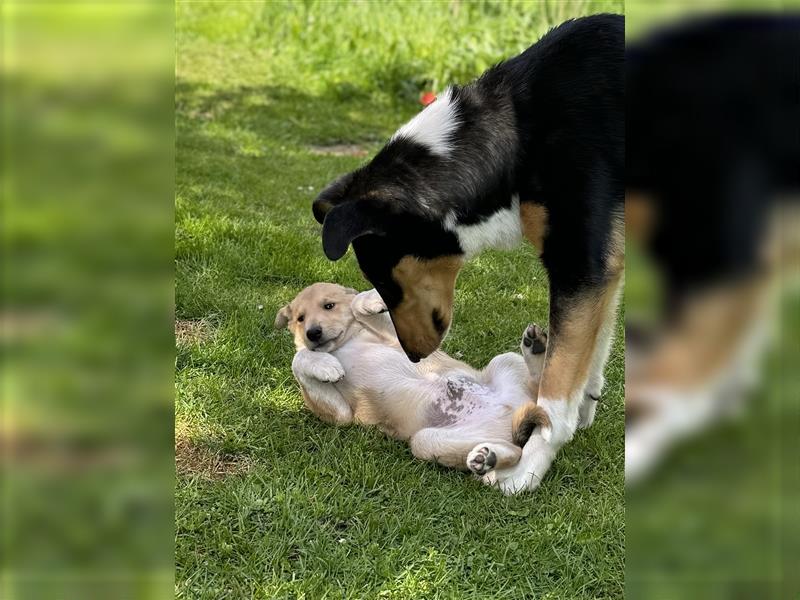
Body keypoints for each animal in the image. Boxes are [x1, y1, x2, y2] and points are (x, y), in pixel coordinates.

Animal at [276, 282, 552, 488]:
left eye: (329, 306)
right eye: (300, 319)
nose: (312, 333)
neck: (344, 345)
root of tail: (512, 414)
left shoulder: (407, 343)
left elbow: (356, 306)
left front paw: (372, 301)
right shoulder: (341, 415)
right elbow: (298, 359)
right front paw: (326, 366)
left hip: (504, 361)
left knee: (536, 390)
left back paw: (536, 348)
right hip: (426, 441)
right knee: (515, 450)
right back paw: (487, 457)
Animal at [312, 15, 624, 492]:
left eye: (383, 277)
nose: (415, 357)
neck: (523, 130)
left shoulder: (578, 264)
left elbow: (555, 400)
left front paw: (529, 468)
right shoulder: (603, 266)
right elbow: (591, 356)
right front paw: (586, 407)